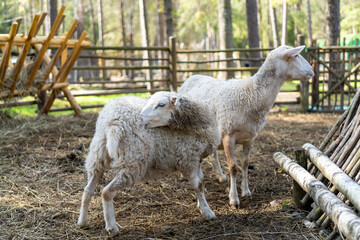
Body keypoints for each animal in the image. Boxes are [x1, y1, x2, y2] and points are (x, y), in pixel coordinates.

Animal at [77, 91, 221, 234]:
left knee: (88, 190)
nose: (141, 118)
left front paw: (200, 205)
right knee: (106, 192)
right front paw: (208, 212)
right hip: (133, 162)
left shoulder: (197, 159)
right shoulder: (188, 159)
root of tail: (112, 122)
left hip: (98, 156)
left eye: (161, 104)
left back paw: (82, 222)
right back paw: (112, 227)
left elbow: (202, 180)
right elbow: (198, 185)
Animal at [179, 45, 314, 208]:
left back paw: (220, 175)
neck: (251, 94)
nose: (312, 71)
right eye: (296, 56)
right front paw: (234, 199)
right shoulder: (228, 136)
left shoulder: (250, 138)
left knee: (214, 153)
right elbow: (233, 167)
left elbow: (245, 164)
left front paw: (246, 191)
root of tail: (191, 77)